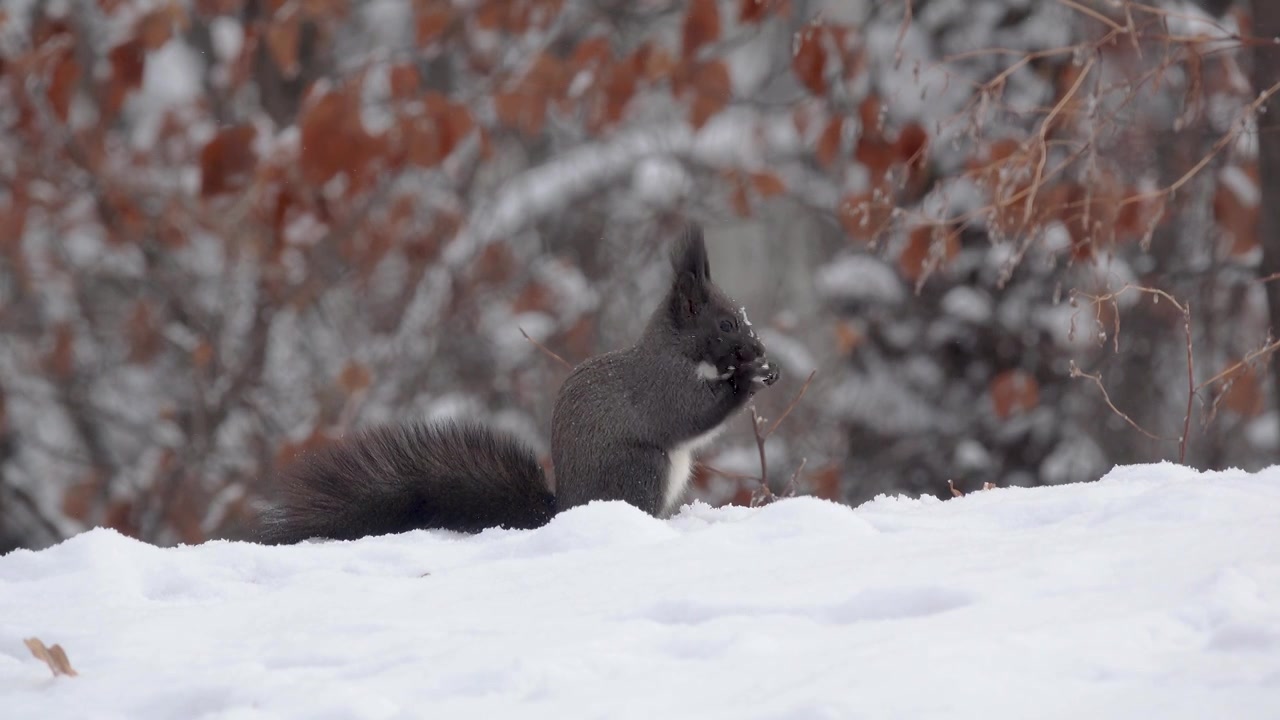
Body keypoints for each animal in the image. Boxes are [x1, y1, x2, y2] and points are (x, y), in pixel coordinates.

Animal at [257, 221, 778, 540]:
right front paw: (747, 381)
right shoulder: (661, 388)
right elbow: (692, 414)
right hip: (642, 469)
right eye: (726, 325)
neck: (679, 352)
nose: (759, 351)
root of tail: (565, 509)